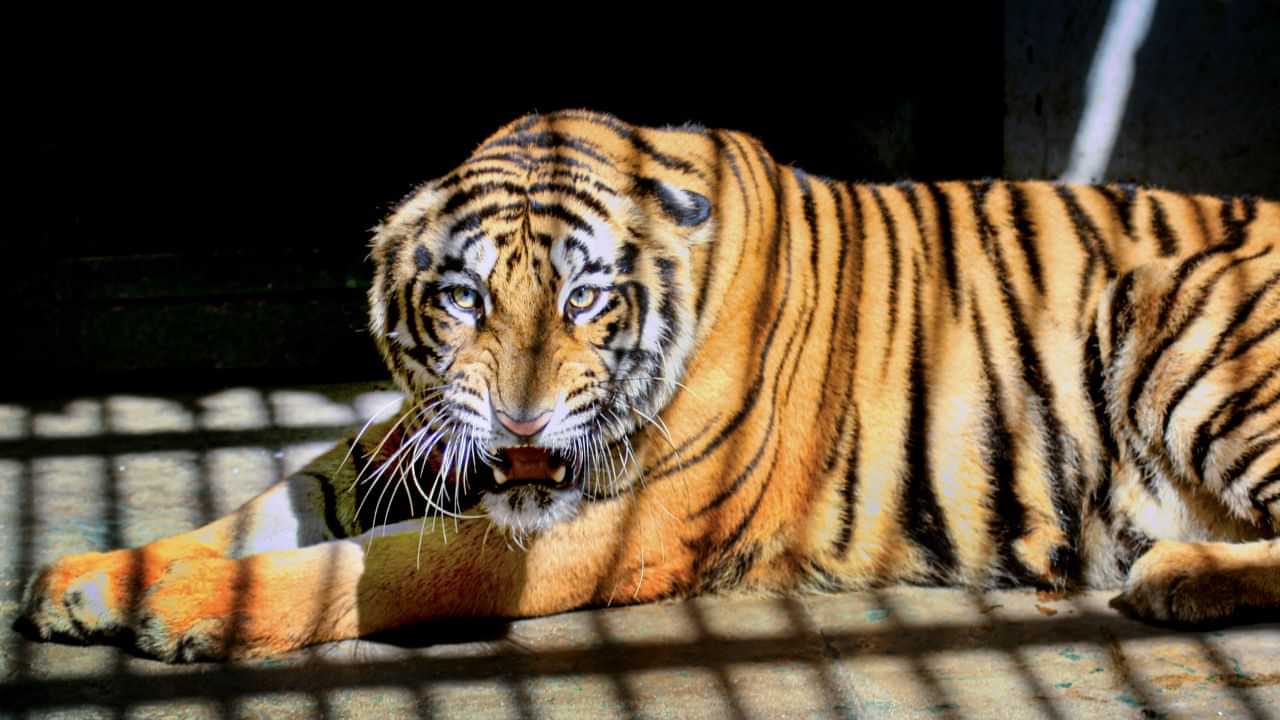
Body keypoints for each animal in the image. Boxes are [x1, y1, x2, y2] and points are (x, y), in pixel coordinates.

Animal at [18, 110, 1280, 662]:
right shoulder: (404, 444)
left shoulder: (615, 521)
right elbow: (260, 510)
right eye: (462, 298)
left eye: (587, 299)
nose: (521, 417)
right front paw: (91, 579)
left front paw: (191, 610)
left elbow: (379, 570)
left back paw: (1172, 576)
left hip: (1172, 313)